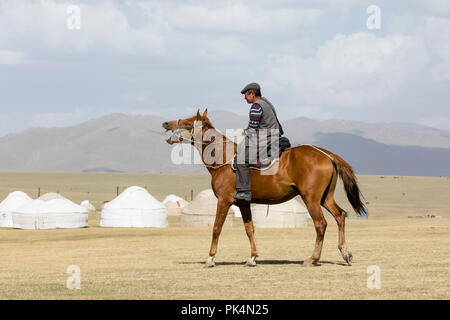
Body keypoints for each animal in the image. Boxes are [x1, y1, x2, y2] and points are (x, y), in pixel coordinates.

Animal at [162, 110, 366, 268]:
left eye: (187, 123)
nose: (165, 123)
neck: (223, 160)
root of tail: (326, 154)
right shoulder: (243, 203)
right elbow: (249, 229)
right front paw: (252, 257)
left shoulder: (224, 201)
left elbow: (216, 228)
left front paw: (210, 259)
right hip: (325, 198)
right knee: (340, 216)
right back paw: (345, 253)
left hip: (311, 199)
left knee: (320, 224)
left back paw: (312, 259)